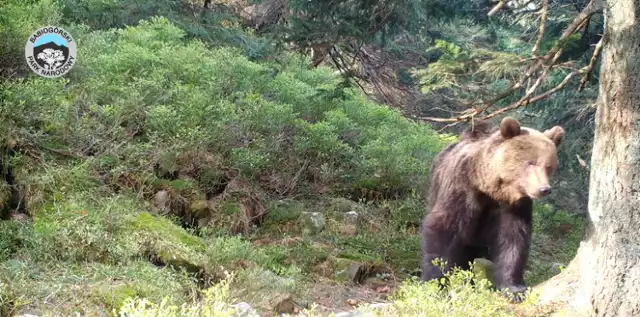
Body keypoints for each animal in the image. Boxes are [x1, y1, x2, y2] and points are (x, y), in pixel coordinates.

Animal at [422, 116, 564, 298]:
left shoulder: (515, 205)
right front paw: (435, 283)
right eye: (530, 162)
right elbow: (444, 227)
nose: (544, 189)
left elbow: (513, 239)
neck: (489, 189)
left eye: (548, 166)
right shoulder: (461, 187)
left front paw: (514, 288)